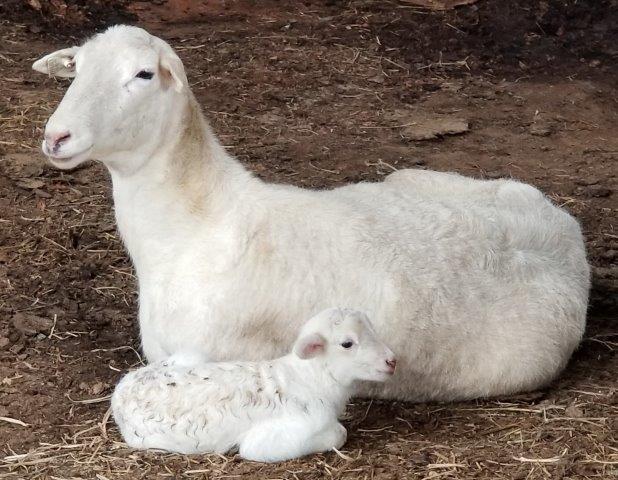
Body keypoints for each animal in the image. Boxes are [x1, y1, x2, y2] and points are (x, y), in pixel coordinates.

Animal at [110, 308, 394, 462]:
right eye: (347, 343)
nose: (392, 361)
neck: (310, 380)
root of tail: (122, 387)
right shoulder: (270, 440)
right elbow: (339, 433)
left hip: (191, 354)